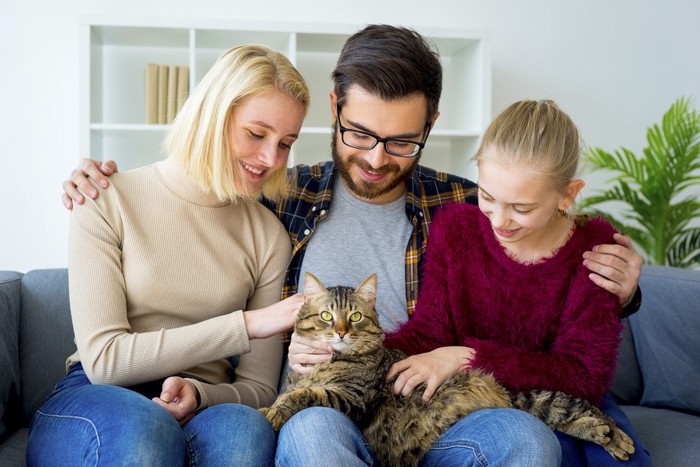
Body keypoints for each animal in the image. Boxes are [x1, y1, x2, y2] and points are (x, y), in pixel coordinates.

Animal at [262, 274, 636, 467]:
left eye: (354, 316)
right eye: (327, 315)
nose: (340, 332)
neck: (332, 362)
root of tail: (502, 392)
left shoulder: (355, 399)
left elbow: (305, 394)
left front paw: (273, 410)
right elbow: (297, 389)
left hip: (532, 402)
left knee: (578, 408)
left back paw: (615, 436)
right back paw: (606, 435)